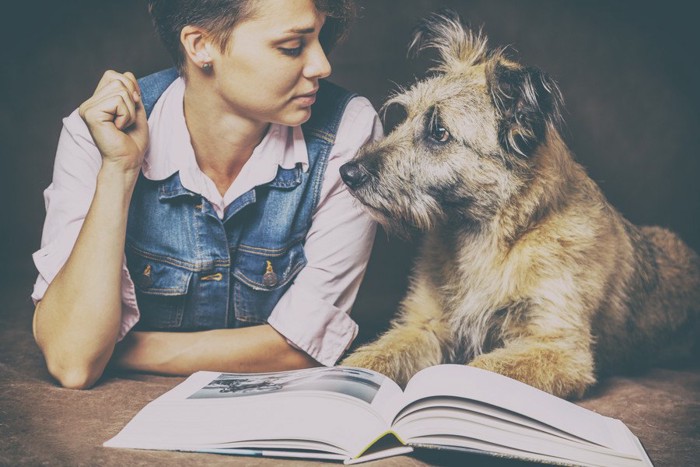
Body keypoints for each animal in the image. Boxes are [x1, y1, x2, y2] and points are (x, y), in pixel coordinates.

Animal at [338, 9, 696, 400]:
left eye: (439, 132)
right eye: (405, 116)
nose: (347, 172)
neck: (493, 239)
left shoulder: (557, 346)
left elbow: (479, 371)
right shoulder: (423, 326)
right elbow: (371, 358)